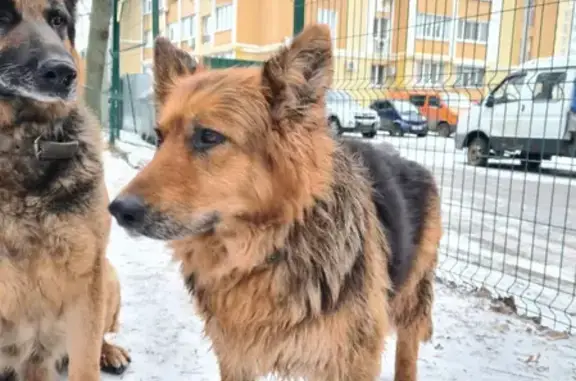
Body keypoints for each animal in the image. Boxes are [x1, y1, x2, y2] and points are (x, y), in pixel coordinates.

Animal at [0, 0, 129, 380]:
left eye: (57, 19)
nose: (63, 72)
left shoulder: (85, 278)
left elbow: (85, 362)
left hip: (107, 275)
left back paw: (109, 352)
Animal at [109, 24, 440, 380]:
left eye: (209, 137)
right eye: (160, 138)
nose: (118, 210)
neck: (263, 251)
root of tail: (410, 161)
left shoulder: (351, 362)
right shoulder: (236, 357)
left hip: (410, 302)